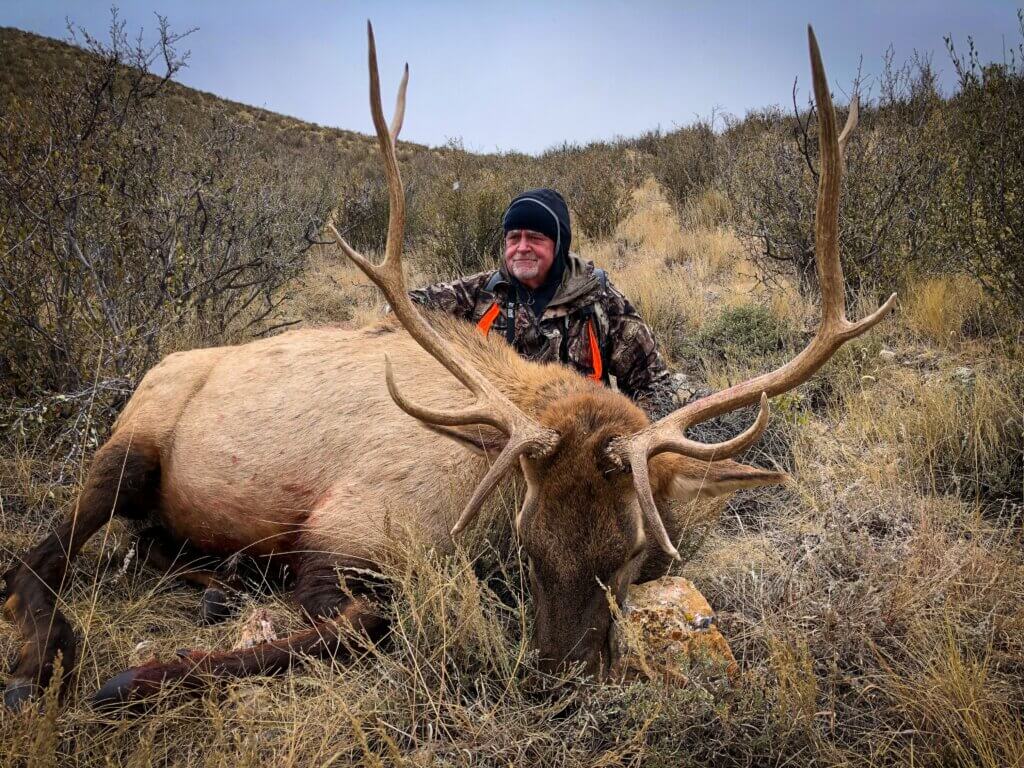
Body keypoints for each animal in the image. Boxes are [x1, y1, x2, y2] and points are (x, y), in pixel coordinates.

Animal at [1, 24, 894, 710]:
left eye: (637, 553)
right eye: (526, 545)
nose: (558, 677)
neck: (479, 488)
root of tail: (157, 366)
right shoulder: (341, 533)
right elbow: (362, 625)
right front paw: (133, 678)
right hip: (130, 447)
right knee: (38, 556)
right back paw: (42, 658)